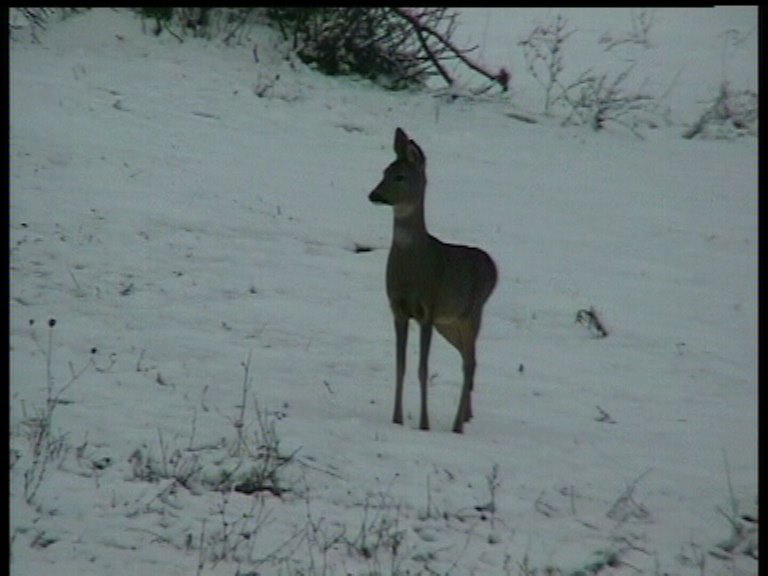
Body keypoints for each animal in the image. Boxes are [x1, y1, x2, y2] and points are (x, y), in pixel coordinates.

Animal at [370, 127, 498, 432]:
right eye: (384, 171)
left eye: (400, 176)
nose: (373, 194)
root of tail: (494, 268)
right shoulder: (398, 310)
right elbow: (401, 366)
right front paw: (396, 418)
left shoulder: (427, 310)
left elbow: (422, 369)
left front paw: (424, 424)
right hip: (449, 323)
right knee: (470, 358)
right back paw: (466, 416)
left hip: (471, 313)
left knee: (469, 363)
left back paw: (457, 426)